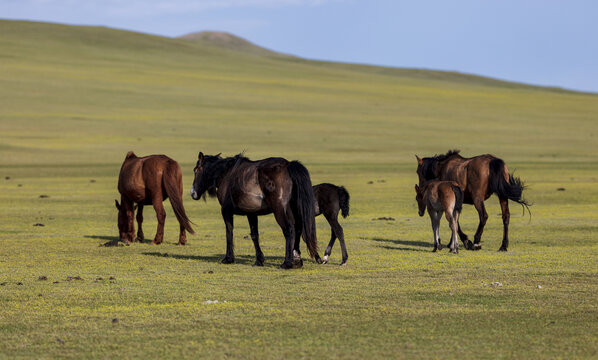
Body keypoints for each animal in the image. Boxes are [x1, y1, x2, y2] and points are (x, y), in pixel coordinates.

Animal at [192, 153, 322, 270]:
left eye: (195, 170)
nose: (193, 193)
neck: (226, 174)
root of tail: (288, 165)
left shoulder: (226, 211)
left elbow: (229, 232)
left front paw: (228, 258)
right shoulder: (251, 213)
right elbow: (254, 235)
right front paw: (259, 260)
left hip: (279, 210)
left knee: (289, 230)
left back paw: (287, 263)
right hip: (293, 210)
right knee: (298, 229)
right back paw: (297, 260)